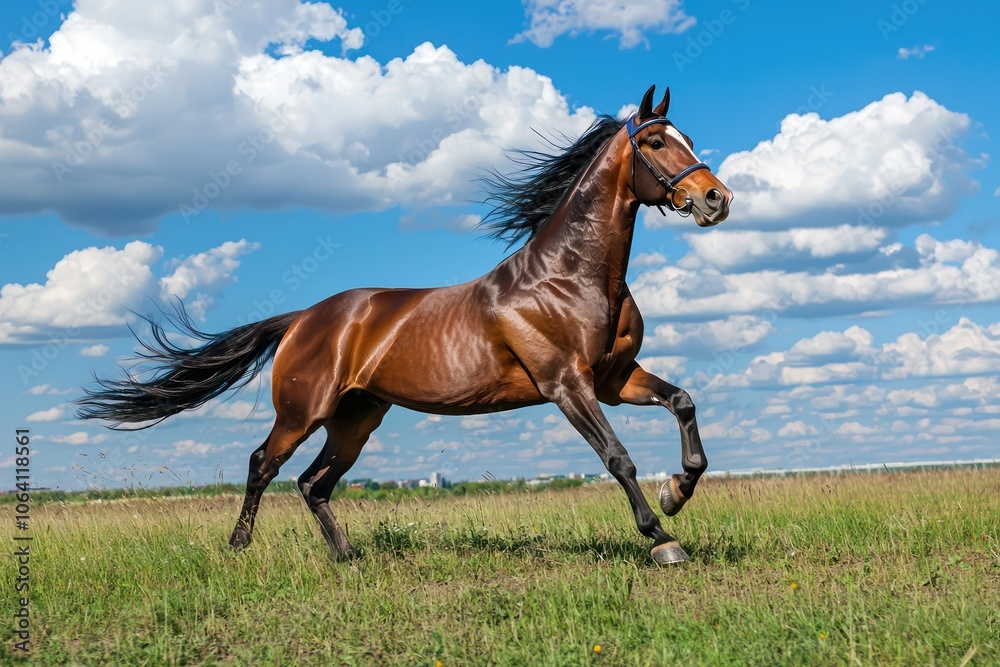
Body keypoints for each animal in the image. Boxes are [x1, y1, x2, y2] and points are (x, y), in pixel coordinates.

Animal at [78, 84, 732, 565]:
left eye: (688, 138)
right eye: (655, 141)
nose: (716, 199)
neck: (568, 277)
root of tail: (303, 319)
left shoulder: (614, 379)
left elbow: (683, 402)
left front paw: (677, 494)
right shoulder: (567, 385)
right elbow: (618, 458)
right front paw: (662, 538)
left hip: (357, 419)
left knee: (313, 483)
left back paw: (346, 556)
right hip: (304, 413)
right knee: (264, 464)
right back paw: (238, 548)